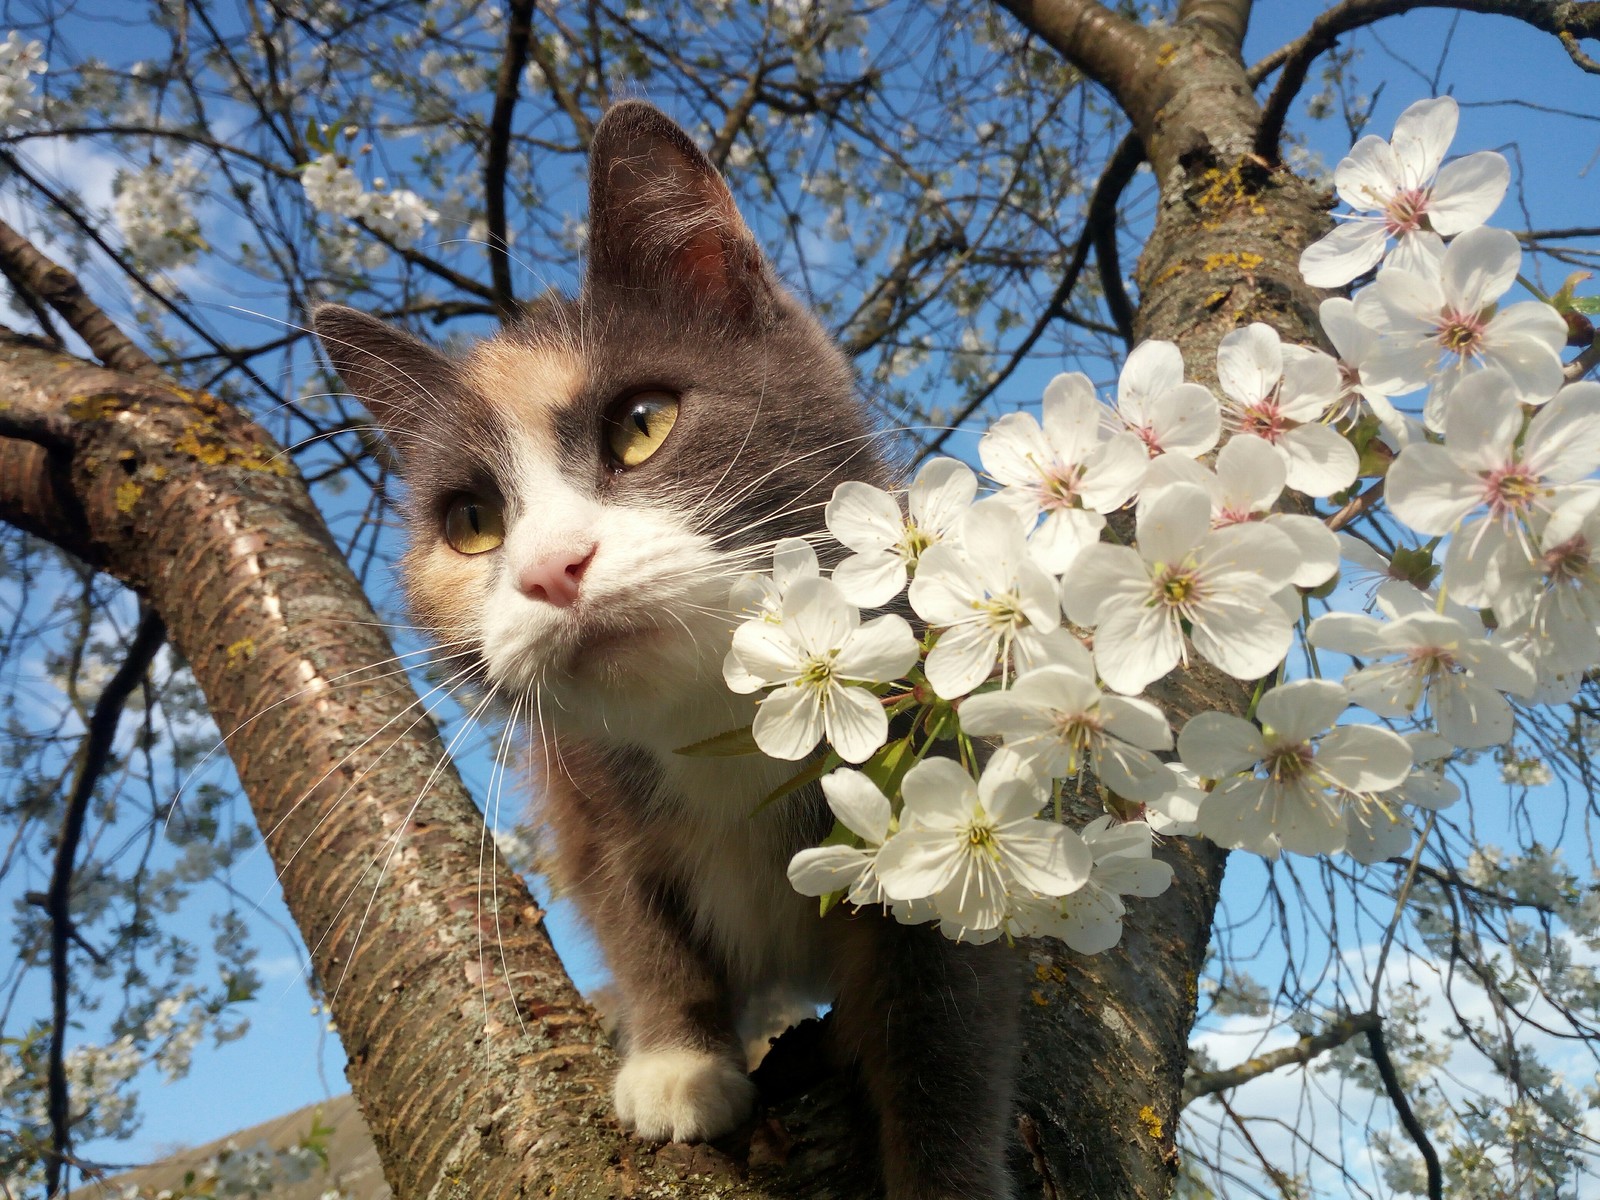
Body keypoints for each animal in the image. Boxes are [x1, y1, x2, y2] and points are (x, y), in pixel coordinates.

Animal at [312, 103, 1017, 1200]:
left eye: (642, 425)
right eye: (470, 523)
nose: (551, 568)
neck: (720, 714)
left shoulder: (931, 749)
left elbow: (941, 1021)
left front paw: (943, 1173)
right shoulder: (583, 792)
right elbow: (631, 910)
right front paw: (678, 1062)